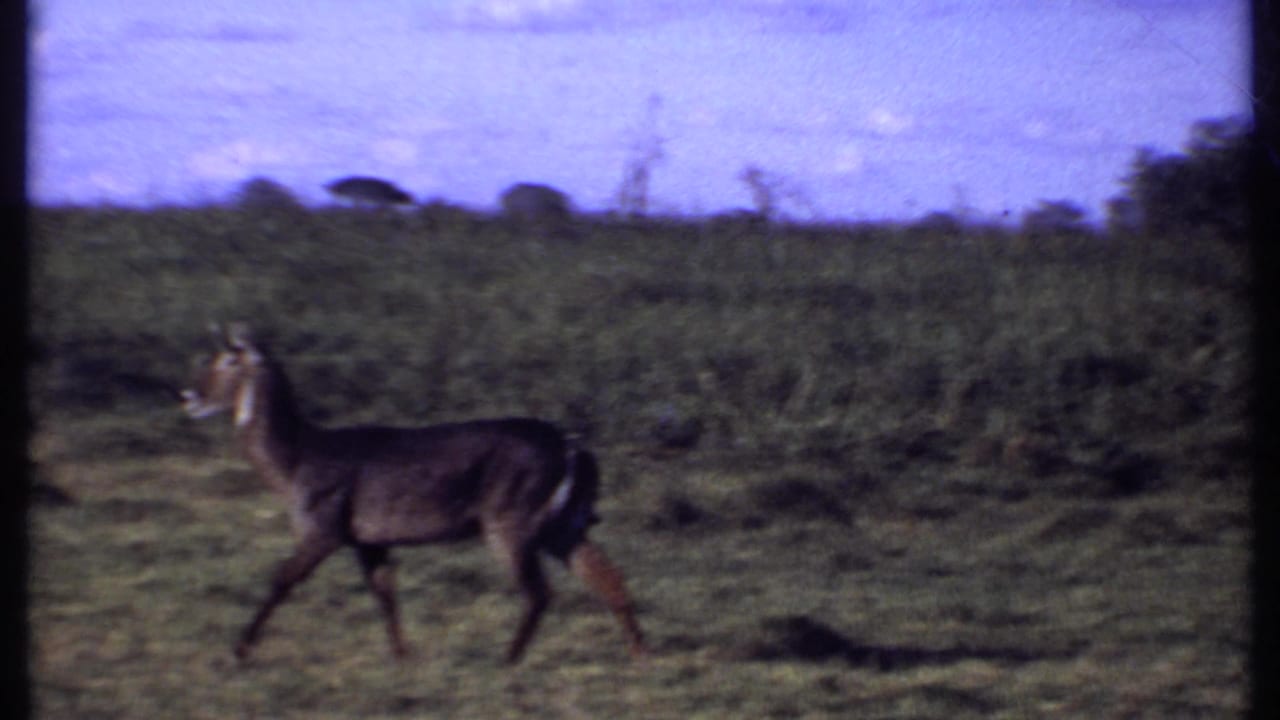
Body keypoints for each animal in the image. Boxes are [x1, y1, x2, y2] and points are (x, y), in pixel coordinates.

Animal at [180, 324, 646, 664]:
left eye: (228, 359)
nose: (188, 396)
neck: (295, 459)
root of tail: (573, 446)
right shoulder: (369, 541)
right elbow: (385, 594)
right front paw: (402, 656)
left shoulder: (322, 529)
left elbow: (281, 579)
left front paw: (240, 649)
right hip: (563, 525)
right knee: (608, 578)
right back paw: (639, 654)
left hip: (511, 523)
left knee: (540, 592)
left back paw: (507, 660)